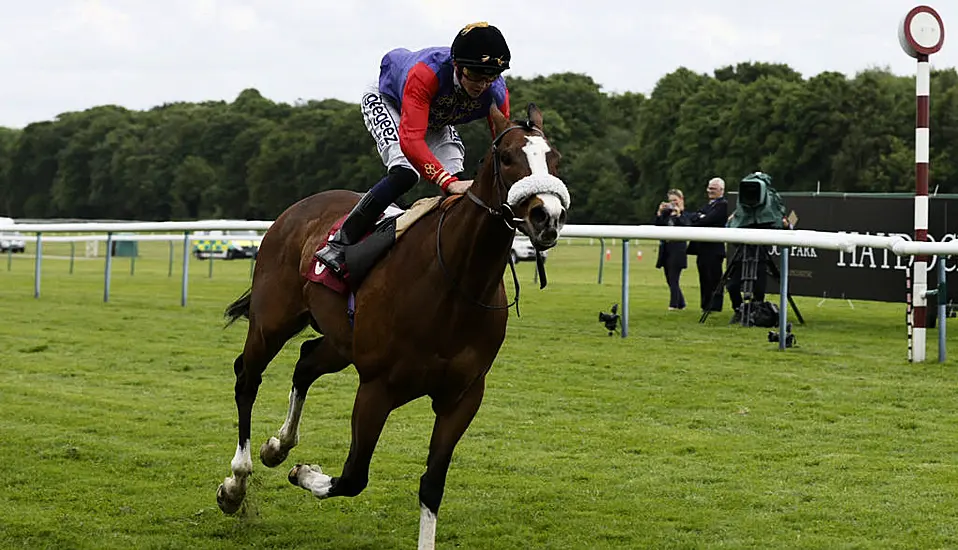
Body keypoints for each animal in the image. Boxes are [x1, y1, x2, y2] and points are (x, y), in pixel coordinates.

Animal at [218, 101, 568, 548]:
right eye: (507, 157)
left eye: (554, 159)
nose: (547, 217)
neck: (455, 282)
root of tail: (296, 210)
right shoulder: (377, 388)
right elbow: (353, 476)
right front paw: (304, 473)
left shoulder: (462, 397)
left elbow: (432, 484)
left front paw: (289, 457)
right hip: (272, 320)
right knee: (247, 377)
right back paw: (236, 483)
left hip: (341, 341)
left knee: (306, 362)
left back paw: (278, 445)